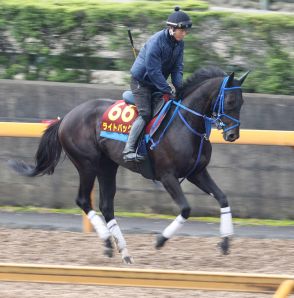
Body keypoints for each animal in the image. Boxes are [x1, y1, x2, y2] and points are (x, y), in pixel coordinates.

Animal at [9, 66, 248, 264]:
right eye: (229, 101)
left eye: (241, 103)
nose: (233, 135)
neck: (185, 124)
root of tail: (65, 118)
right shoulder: (167, 176)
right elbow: (186, 209)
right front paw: (160, 240)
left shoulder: (196, 172)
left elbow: (223, 198)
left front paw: (225, 242)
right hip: (87, 164)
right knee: (83, 200)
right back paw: (109, 242)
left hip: (107, 166)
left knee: (106, 206)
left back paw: (122, 251)